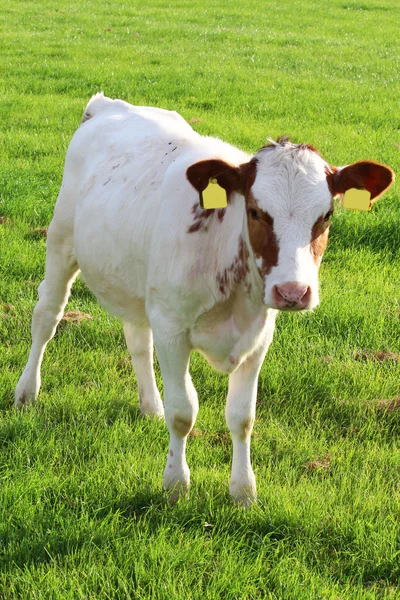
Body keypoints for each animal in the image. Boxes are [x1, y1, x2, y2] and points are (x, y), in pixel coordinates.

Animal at [14, 94, 394, 504]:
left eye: (325, 216)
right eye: (256, 211)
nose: (292, 292)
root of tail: (108, 103)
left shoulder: (259, 336)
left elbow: (243, 416)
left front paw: (243, 490)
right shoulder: (172, 328)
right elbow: (183, 411)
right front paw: (176, 484)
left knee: (137, 339)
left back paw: (150, 406)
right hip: (60, 241)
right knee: (47, 317)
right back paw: (26, 392)